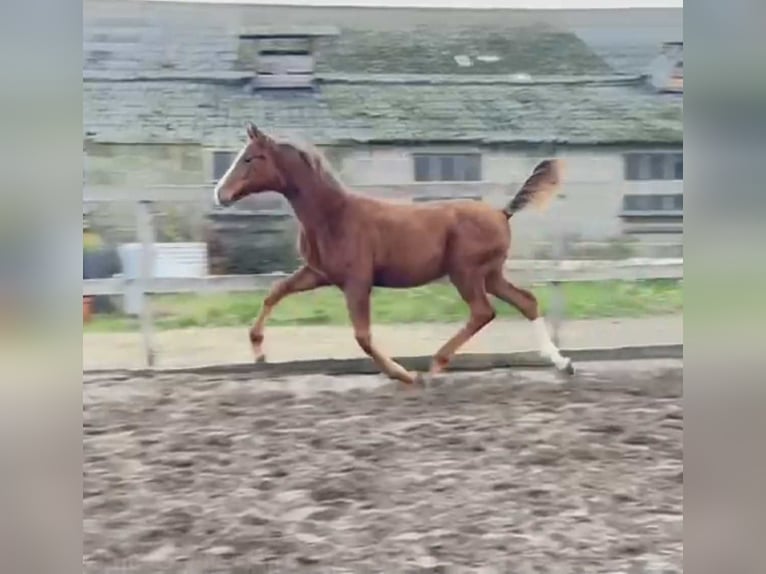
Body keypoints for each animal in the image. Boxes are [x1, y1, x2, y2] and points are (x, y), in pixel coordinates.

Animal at [213, 123, 574, 384]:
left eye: (249, 158)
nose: (220, 194)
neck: (333, 216)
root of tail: (502, 213)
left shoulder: (358, 281)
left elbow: (362, 336)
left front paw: (402, 374)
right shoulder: (318, 274)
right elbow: (275, 292)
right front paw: (258, 350)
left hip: (466, 272)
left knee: (483, 312)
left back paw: (434, 366)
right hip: (490, 274)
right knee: (526, 301)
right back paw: (562, 363)